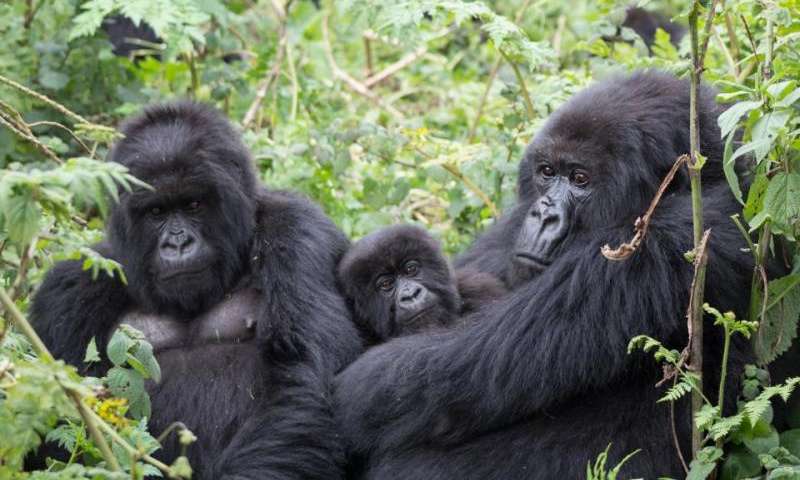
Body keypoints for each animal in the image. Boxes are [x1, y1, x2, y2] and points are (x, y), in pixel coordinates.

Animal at [31, 102, 362, 480]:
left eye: (193, 205)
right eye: (156, 211)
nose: (178, 243)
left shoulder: (298, 232)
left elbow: (304, 373)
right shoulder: (69, 289)